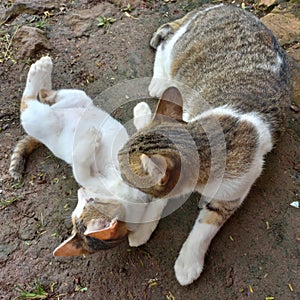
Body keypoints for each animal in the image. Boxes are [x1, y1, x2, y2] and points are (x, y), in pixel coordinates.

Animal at [118, 4, 292, 286]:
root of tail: (224, 6)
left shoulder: (234, 191)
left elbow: (206, 226)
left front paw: (188, 261)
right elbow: (159, 201)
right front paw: (144, 229)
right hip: (179, 50)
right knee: (167, 43)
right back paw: (157, 85)